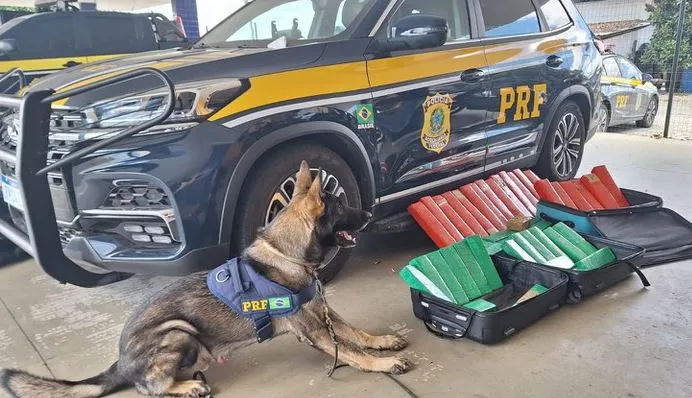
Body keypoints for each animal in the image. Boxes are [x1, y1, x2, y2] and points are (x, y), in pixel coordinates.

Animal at [0, 160, 410, 396]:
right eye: (342, 206)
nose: (370, 213)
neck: (287, 255)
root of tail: (120, 361)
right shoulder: (313, 330)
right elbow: (352, 351)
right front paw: (383, 364)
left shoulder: (323, 311)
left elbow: (356, 333)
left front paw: (383, 341)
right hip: (177, 332)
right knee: (150, 387)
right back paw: (187, 386)